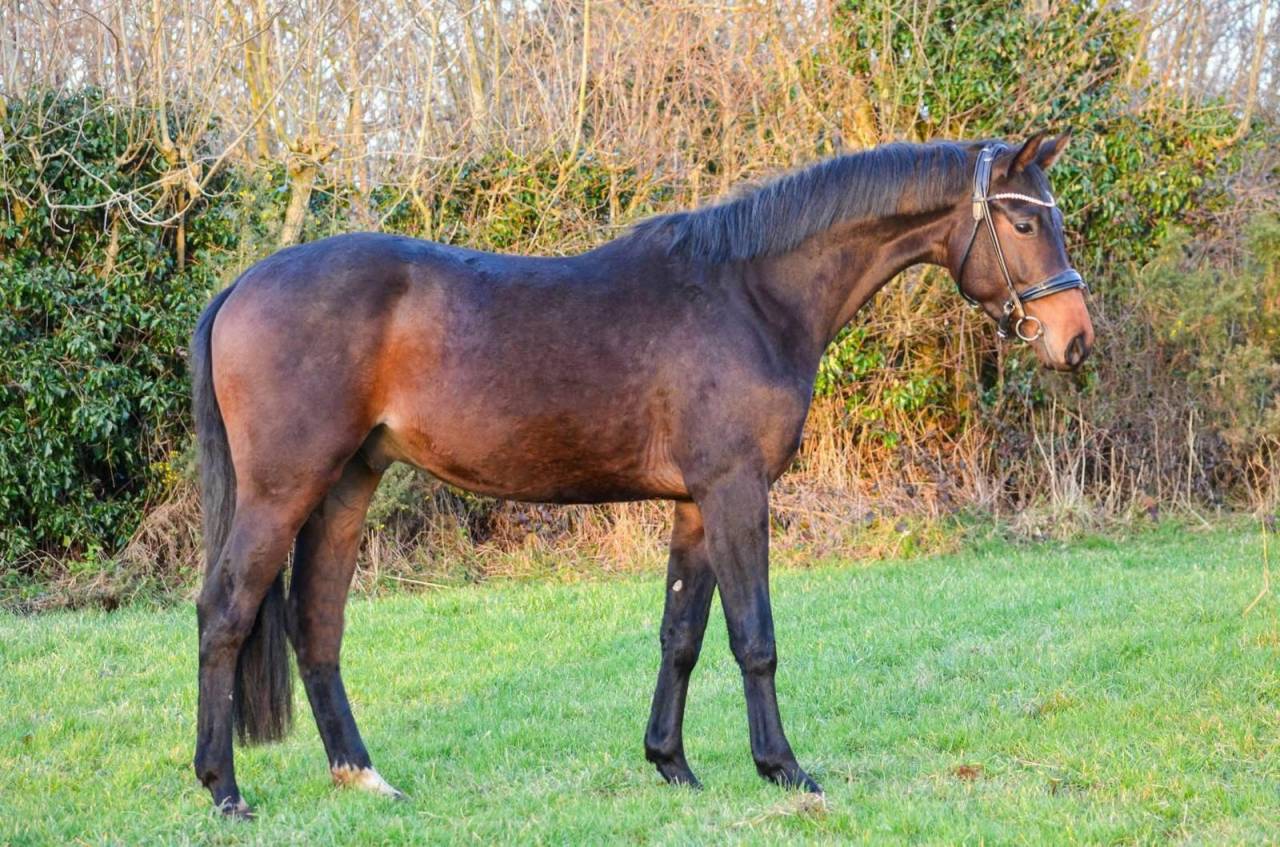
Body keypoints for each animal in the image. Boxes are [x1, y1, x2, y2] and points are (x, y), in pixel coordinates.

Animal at [190, 132, 1093, 817]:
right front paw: (784, 768)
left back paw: (363, 775)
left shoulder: (695, 503)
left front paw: (671, 762)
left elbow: (680, 633)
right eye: (1021, 220)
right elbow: (753, 636)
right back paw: (224, 788)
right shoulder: (736, 490)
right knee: (225, 612)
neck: (752, 296)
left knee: (317, 623)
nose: (1076, 338)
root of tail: (241, 285)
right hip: (283, 489)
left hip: (348, 484)